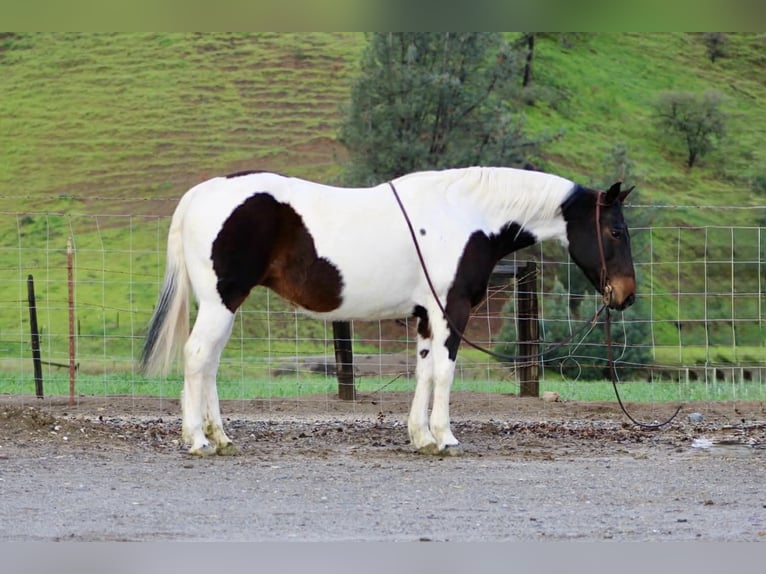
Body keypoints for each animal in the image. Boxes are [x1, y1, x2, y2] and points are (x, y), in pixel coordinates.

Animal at [140, 166, 636, 456]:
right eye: (615, 231)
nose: (626, 296)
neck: (464, 215)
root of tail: (200, 194)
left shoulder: (425, 315)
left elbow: (424, 372)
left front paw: (421, 437)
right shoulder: (450, 311)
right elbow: (444, 372)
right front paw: (445, 437)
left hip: (224, 304)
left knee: (208, 364)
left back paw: (220, 437)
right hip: (222, 301)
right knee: (198, 357)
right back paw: (197, 441)